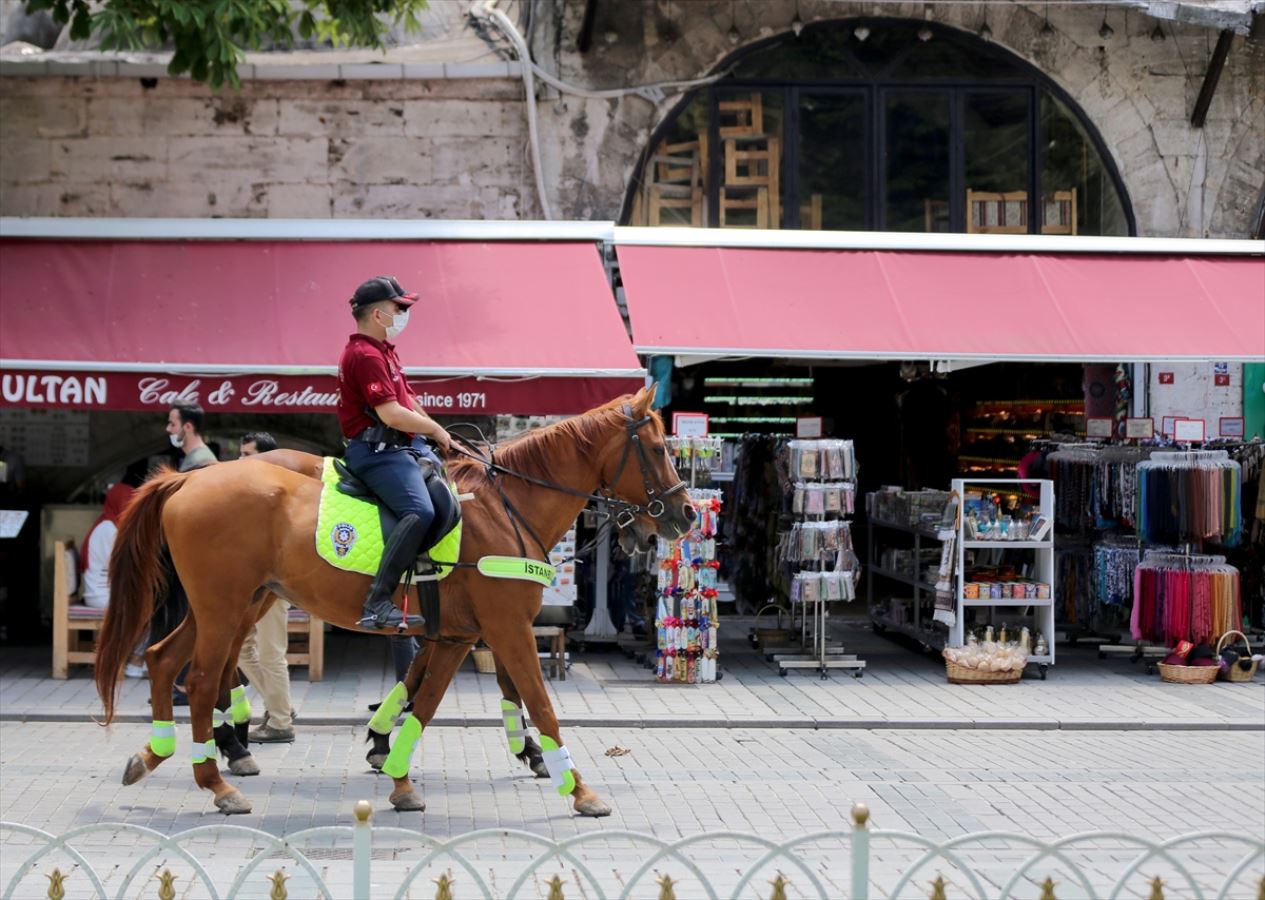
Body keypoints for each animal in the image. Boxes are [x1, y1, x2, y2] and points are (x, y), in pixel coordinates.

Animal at [96, 387, 693, 815]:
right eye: (658, 449)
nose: (684, 514)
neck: (508, 508)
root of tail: (189, 480)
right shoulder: (506, 627)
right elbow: (537, 702)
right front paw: (577, 787)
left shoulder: (458, 635)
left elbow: (423, 702)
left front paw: (397, 771)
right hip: (225, 606)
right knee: (200, 679)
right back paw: (217, 779)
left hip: (234, 604)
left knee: (164, 660)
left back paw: (158, 754)